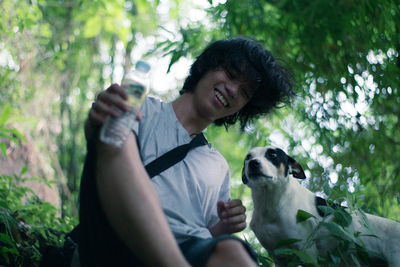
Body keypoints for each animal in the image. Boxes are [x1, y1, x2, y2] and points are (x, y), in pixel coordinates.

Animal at [241, 148, 400, 266]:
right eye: (248, 157)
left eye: (272, 155)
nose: (253, 163)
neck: (272, 204)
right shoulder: (279, 257)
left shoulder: (307, 252)